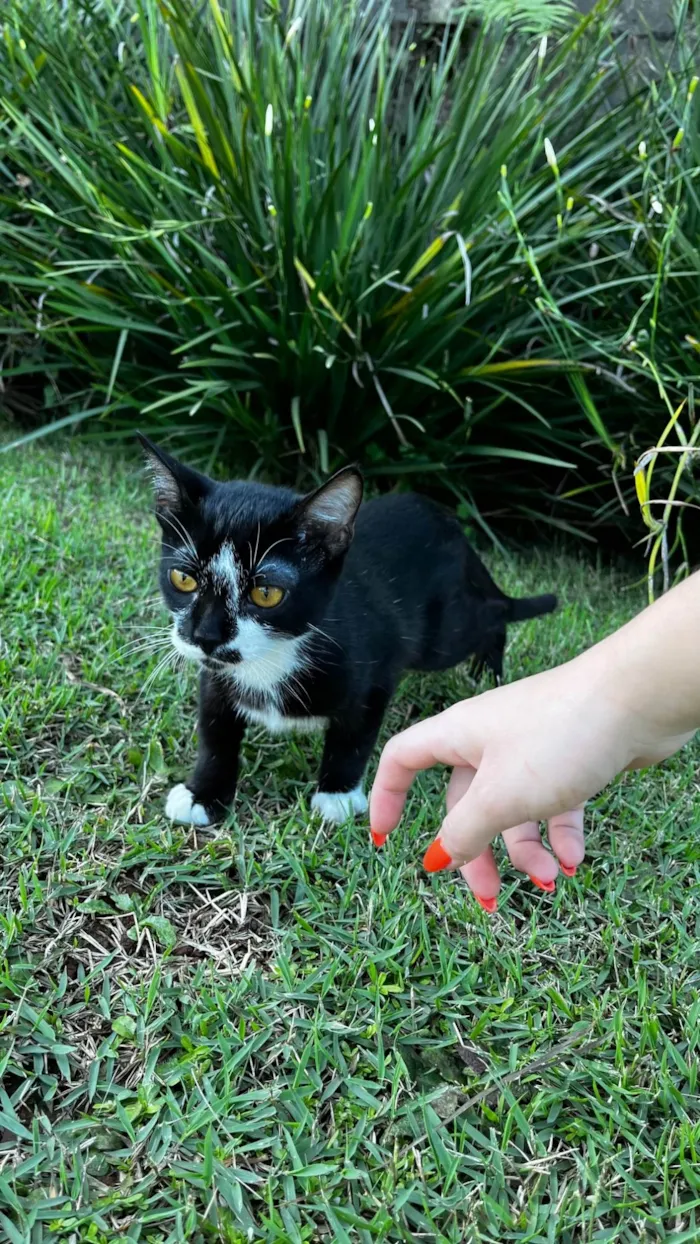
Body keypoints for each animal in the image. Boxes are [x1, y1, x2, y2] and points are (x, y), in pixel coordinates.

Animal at [138, 437, 559, 826]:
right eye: (183, 578)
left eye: (266, 593)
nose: (205, 636)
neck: (276, 656)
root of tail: (452, 526)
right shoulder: (214, 677)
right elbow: (215, 732)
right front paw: (204, 793)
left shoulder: (376, 668)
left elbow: (355, 736)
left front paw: (337, 794)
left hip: (441, 635)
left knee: (492, 615)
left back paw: (487, 671)